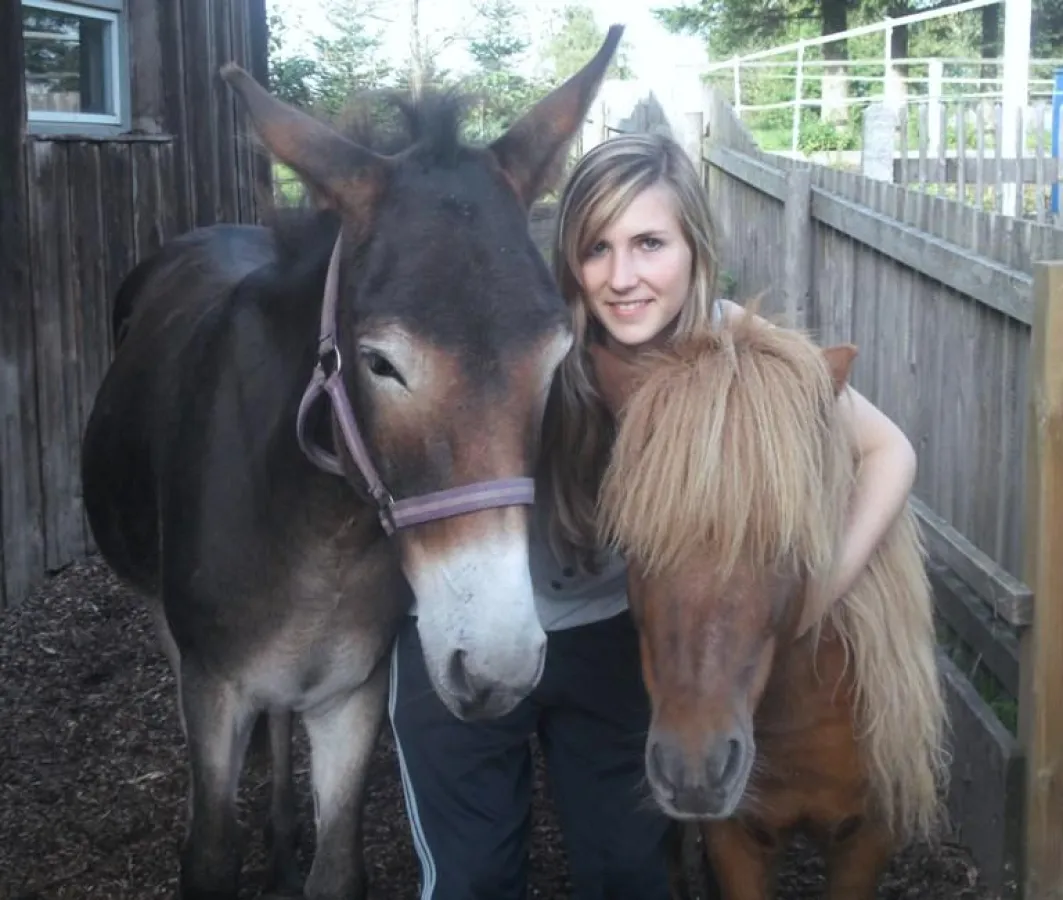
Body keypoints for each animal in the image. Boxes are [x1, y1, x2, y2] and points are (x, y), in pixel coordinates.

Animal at [79, 28, 623, 900]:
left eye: (557, 358)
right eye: (380, 363)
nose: (499, 667)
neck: (318, 533)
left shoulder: (352, 694)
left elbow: (337, 869)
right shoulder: (214, 688)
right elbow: (209, 856)